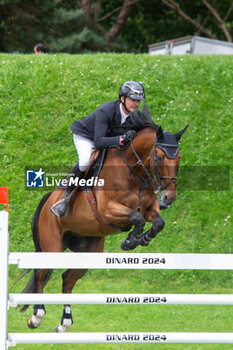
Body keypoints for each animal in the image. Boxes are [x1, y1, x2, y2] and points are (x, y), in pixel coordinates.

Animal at [21, 116, 187, 332]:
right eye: (159, 158)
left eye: (179, 157)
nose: (169, 197)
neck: (133, 171)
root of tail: (49, 199)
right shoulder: (108, 210)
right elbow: (137, 218)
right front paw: (130, 240)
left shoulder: (149, 208)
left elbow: (158, 222)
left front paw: (139, 239)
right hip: (52, 245)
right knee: (41, 274)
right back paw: (37, 316)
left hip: (88, 250)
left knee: (67, 279)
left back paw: (65, 322)